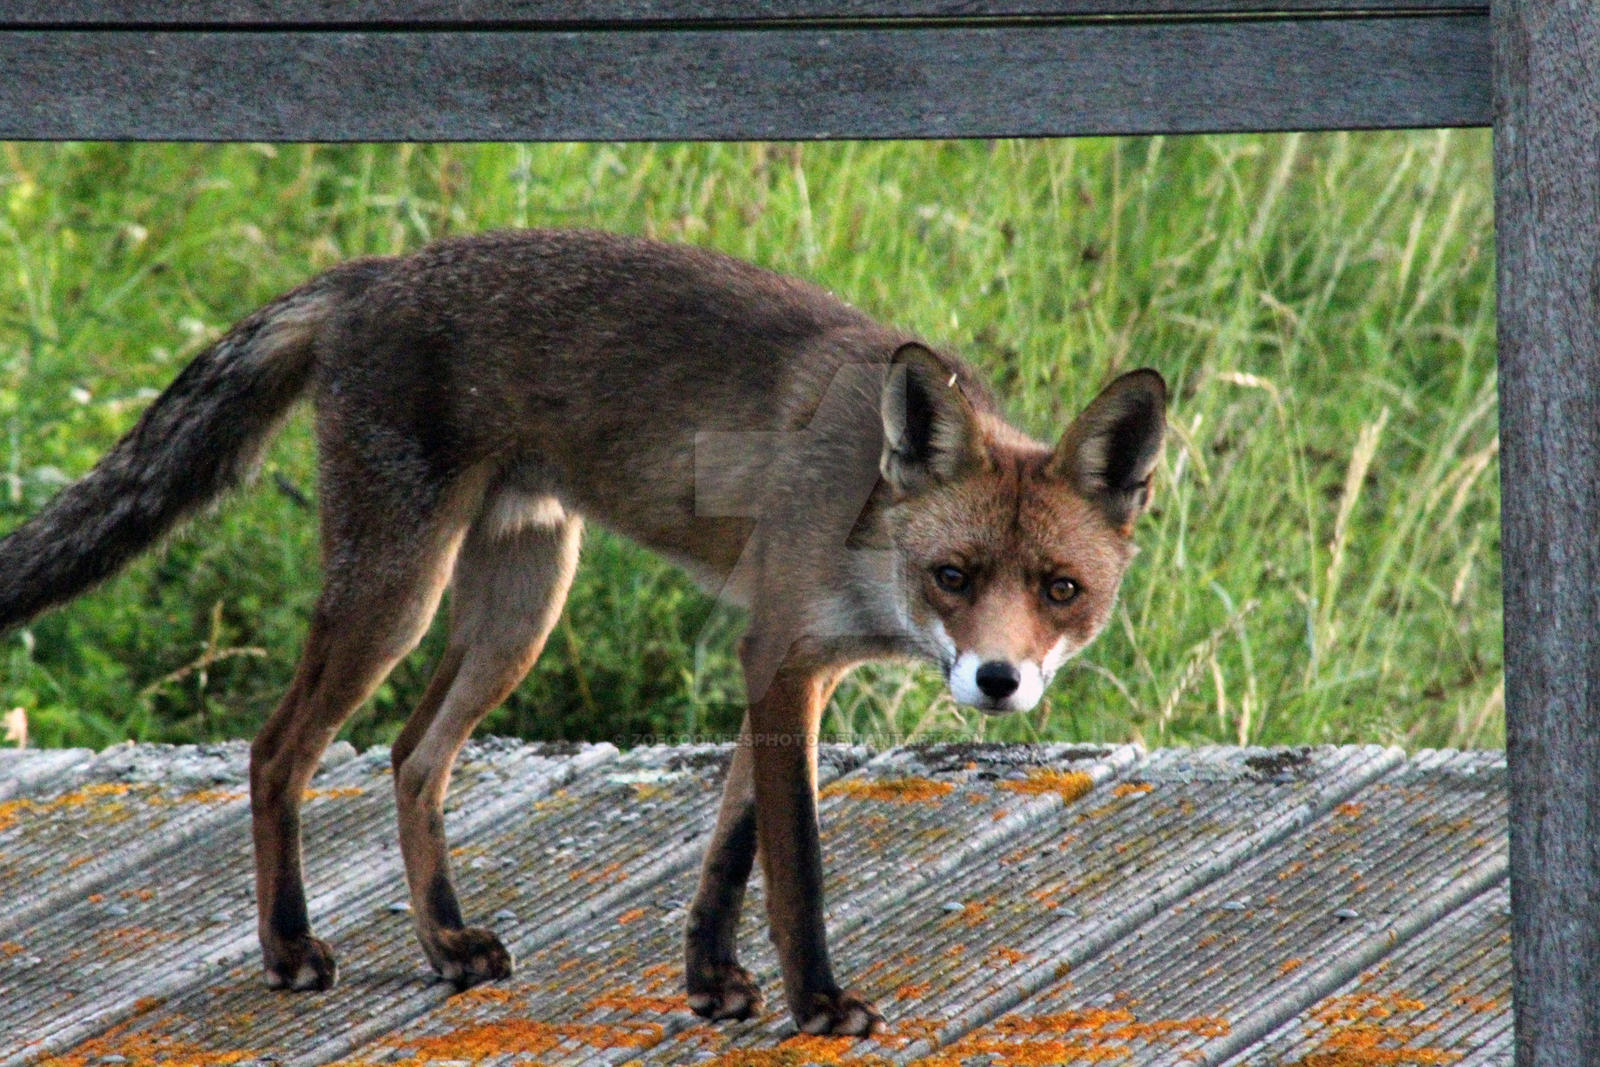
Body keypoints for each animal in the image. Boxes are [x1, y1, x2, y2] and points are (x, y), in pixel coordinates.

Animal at [0, 230, 1164, 1036]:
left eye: (1060, 588)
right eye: (952, 576)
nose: (998, 679)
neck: (866, 519)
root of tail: (376, 270)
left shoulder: (794, 671)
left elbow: (730, 847)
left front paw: (710, 980)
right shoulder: (779, 658)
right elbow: (795, 863)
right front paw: (818, 1002)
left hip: (521, 604)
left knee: (412, 754)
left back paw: (444, 940)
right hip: (396, 593)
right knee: (277, 748)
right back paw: (288, 947)